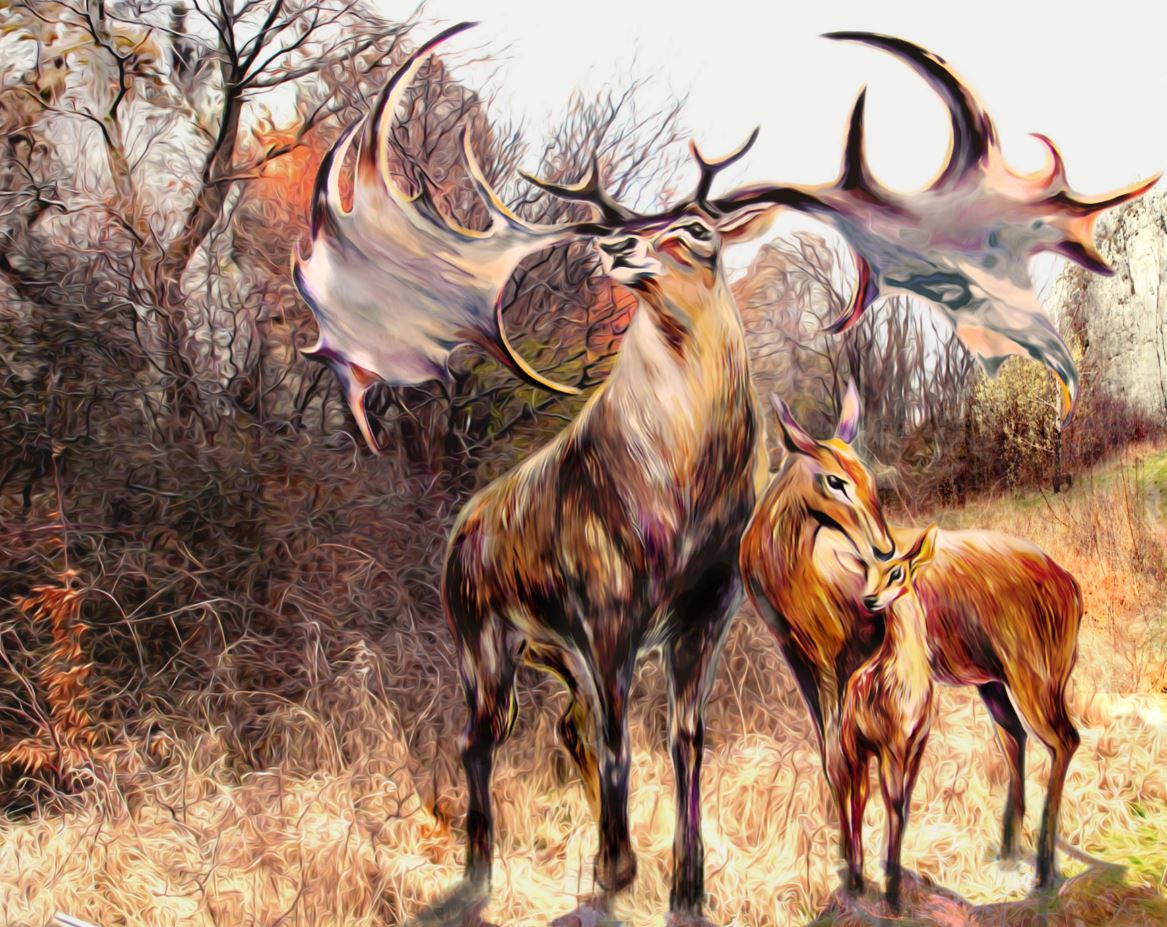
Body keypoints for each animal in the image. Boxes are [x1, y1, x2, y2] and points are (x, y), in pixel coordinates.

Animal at [292, 22, 1152, 921]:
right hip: (482, 632)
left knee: (562, 728)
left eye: (701, 229)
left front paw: (688, 881)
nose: (618, 246)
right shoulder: (608, 613)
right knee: (484, 736)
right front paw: (621, 869)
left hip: (559, 651)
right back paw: (483, 870)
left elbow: (688, 739)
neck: (676, 501)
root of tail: (460, 532)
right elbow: (624, 741)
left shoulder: (702, 614)